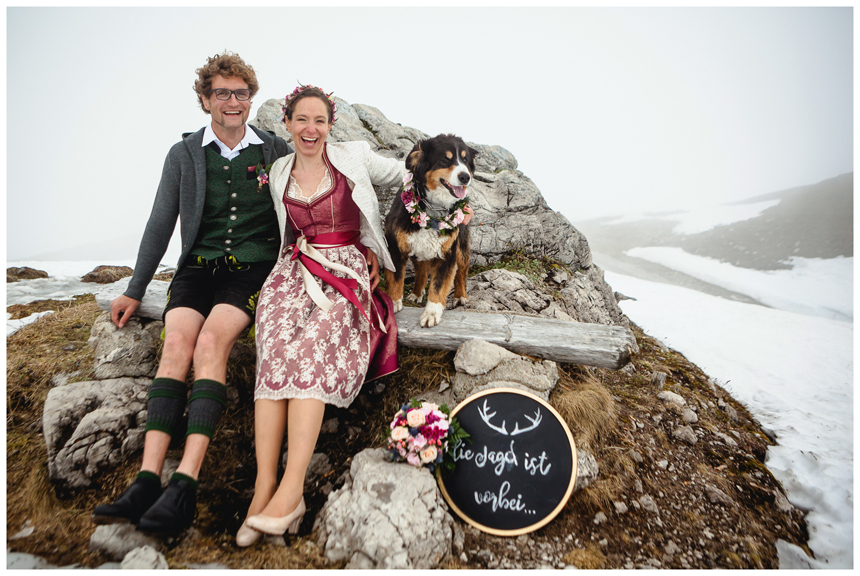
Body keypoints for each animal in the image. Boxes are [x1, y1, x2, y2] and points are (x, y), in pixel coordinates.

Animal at [382, 132, 478, 326]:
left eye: (465, 160)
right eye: (444, 159)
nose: (465, 177)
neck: (433, 211)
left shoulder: (447, 253)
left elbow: (438, 286)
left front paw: (432, 313)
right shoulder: (396, 246)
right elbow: (396, 279)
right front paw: (394, 302)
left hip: (461, 247)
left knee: (461, 273)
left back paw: (460, 296)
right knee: (421, 270)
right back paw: (416, 293)